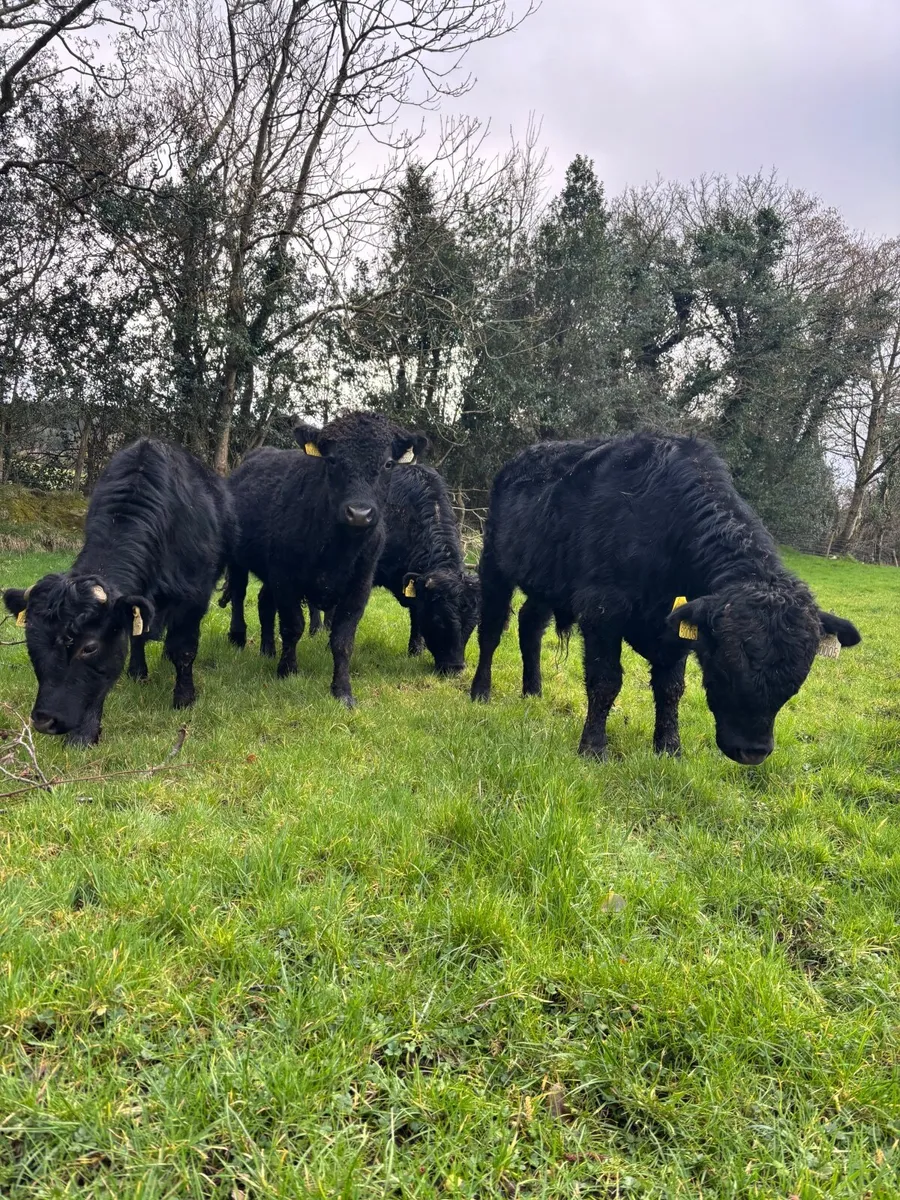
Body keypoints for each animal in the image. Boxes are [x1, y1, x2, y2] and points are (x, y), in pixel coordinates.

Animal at [3, 438, 236, 746]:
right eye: (31, 642)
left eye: (89, 647)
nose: (44, 720)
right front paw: (84, 732)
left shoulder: (193, 600)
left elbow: (184, 651)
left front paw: (184, 698)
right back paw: (138, 672)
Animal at [222, 410, 428, 706]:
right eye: (332, 460)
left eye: (388, 464)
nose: (359, 513)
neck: (338, 548)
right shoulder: (286, 578)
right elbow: (293, 626)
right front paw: (288, 671)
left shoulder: (359, 587)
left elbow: (343, 640)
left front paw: (342, 691)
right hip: (238, 558)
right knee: (239, 593)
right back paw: (238, 637)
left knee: (263, 602)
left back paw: (267, 649)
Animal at [470, 432, 861, 764]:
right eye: (726, 668)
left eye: (796, 682)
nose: (753, 751)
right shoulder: (601, 610)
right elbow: (605, 680)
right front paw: (593, 748)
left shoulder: (676, 627)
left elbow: (671, 687)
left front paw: (669, 748)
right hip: (494, 564)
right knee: (491, 629)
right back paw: (480, 691)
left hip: (546, 580)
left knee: (530, 624)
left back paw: (533, 691)